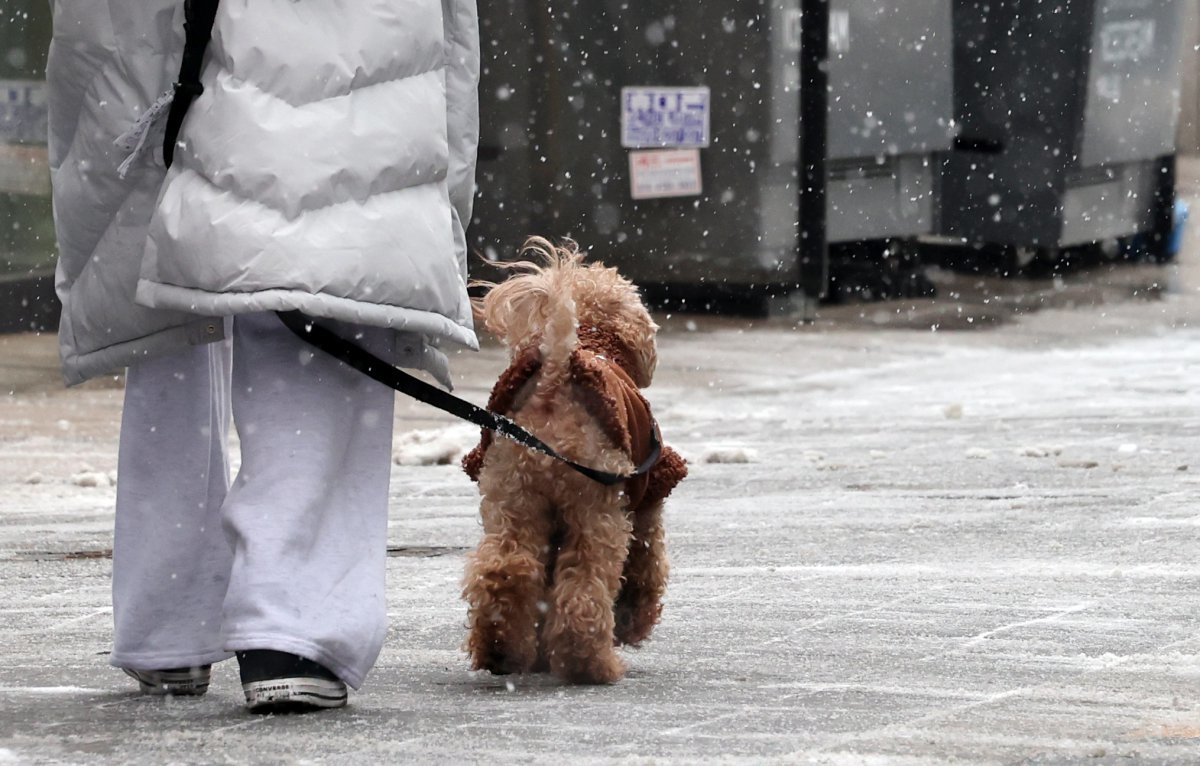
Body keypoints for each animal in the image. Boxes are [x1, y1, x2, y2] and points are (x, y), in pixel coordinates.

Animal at [458, 238, 686, 681]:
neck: (596, 341)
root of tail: (557, 374)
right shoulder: (647, 495)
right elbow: (645, 566)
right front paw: (634, 622)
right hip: (596, 509)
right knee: (585, 584)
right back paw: (591, 664)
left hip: (514, 491)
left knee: (505, 566)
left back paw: (500, 650)